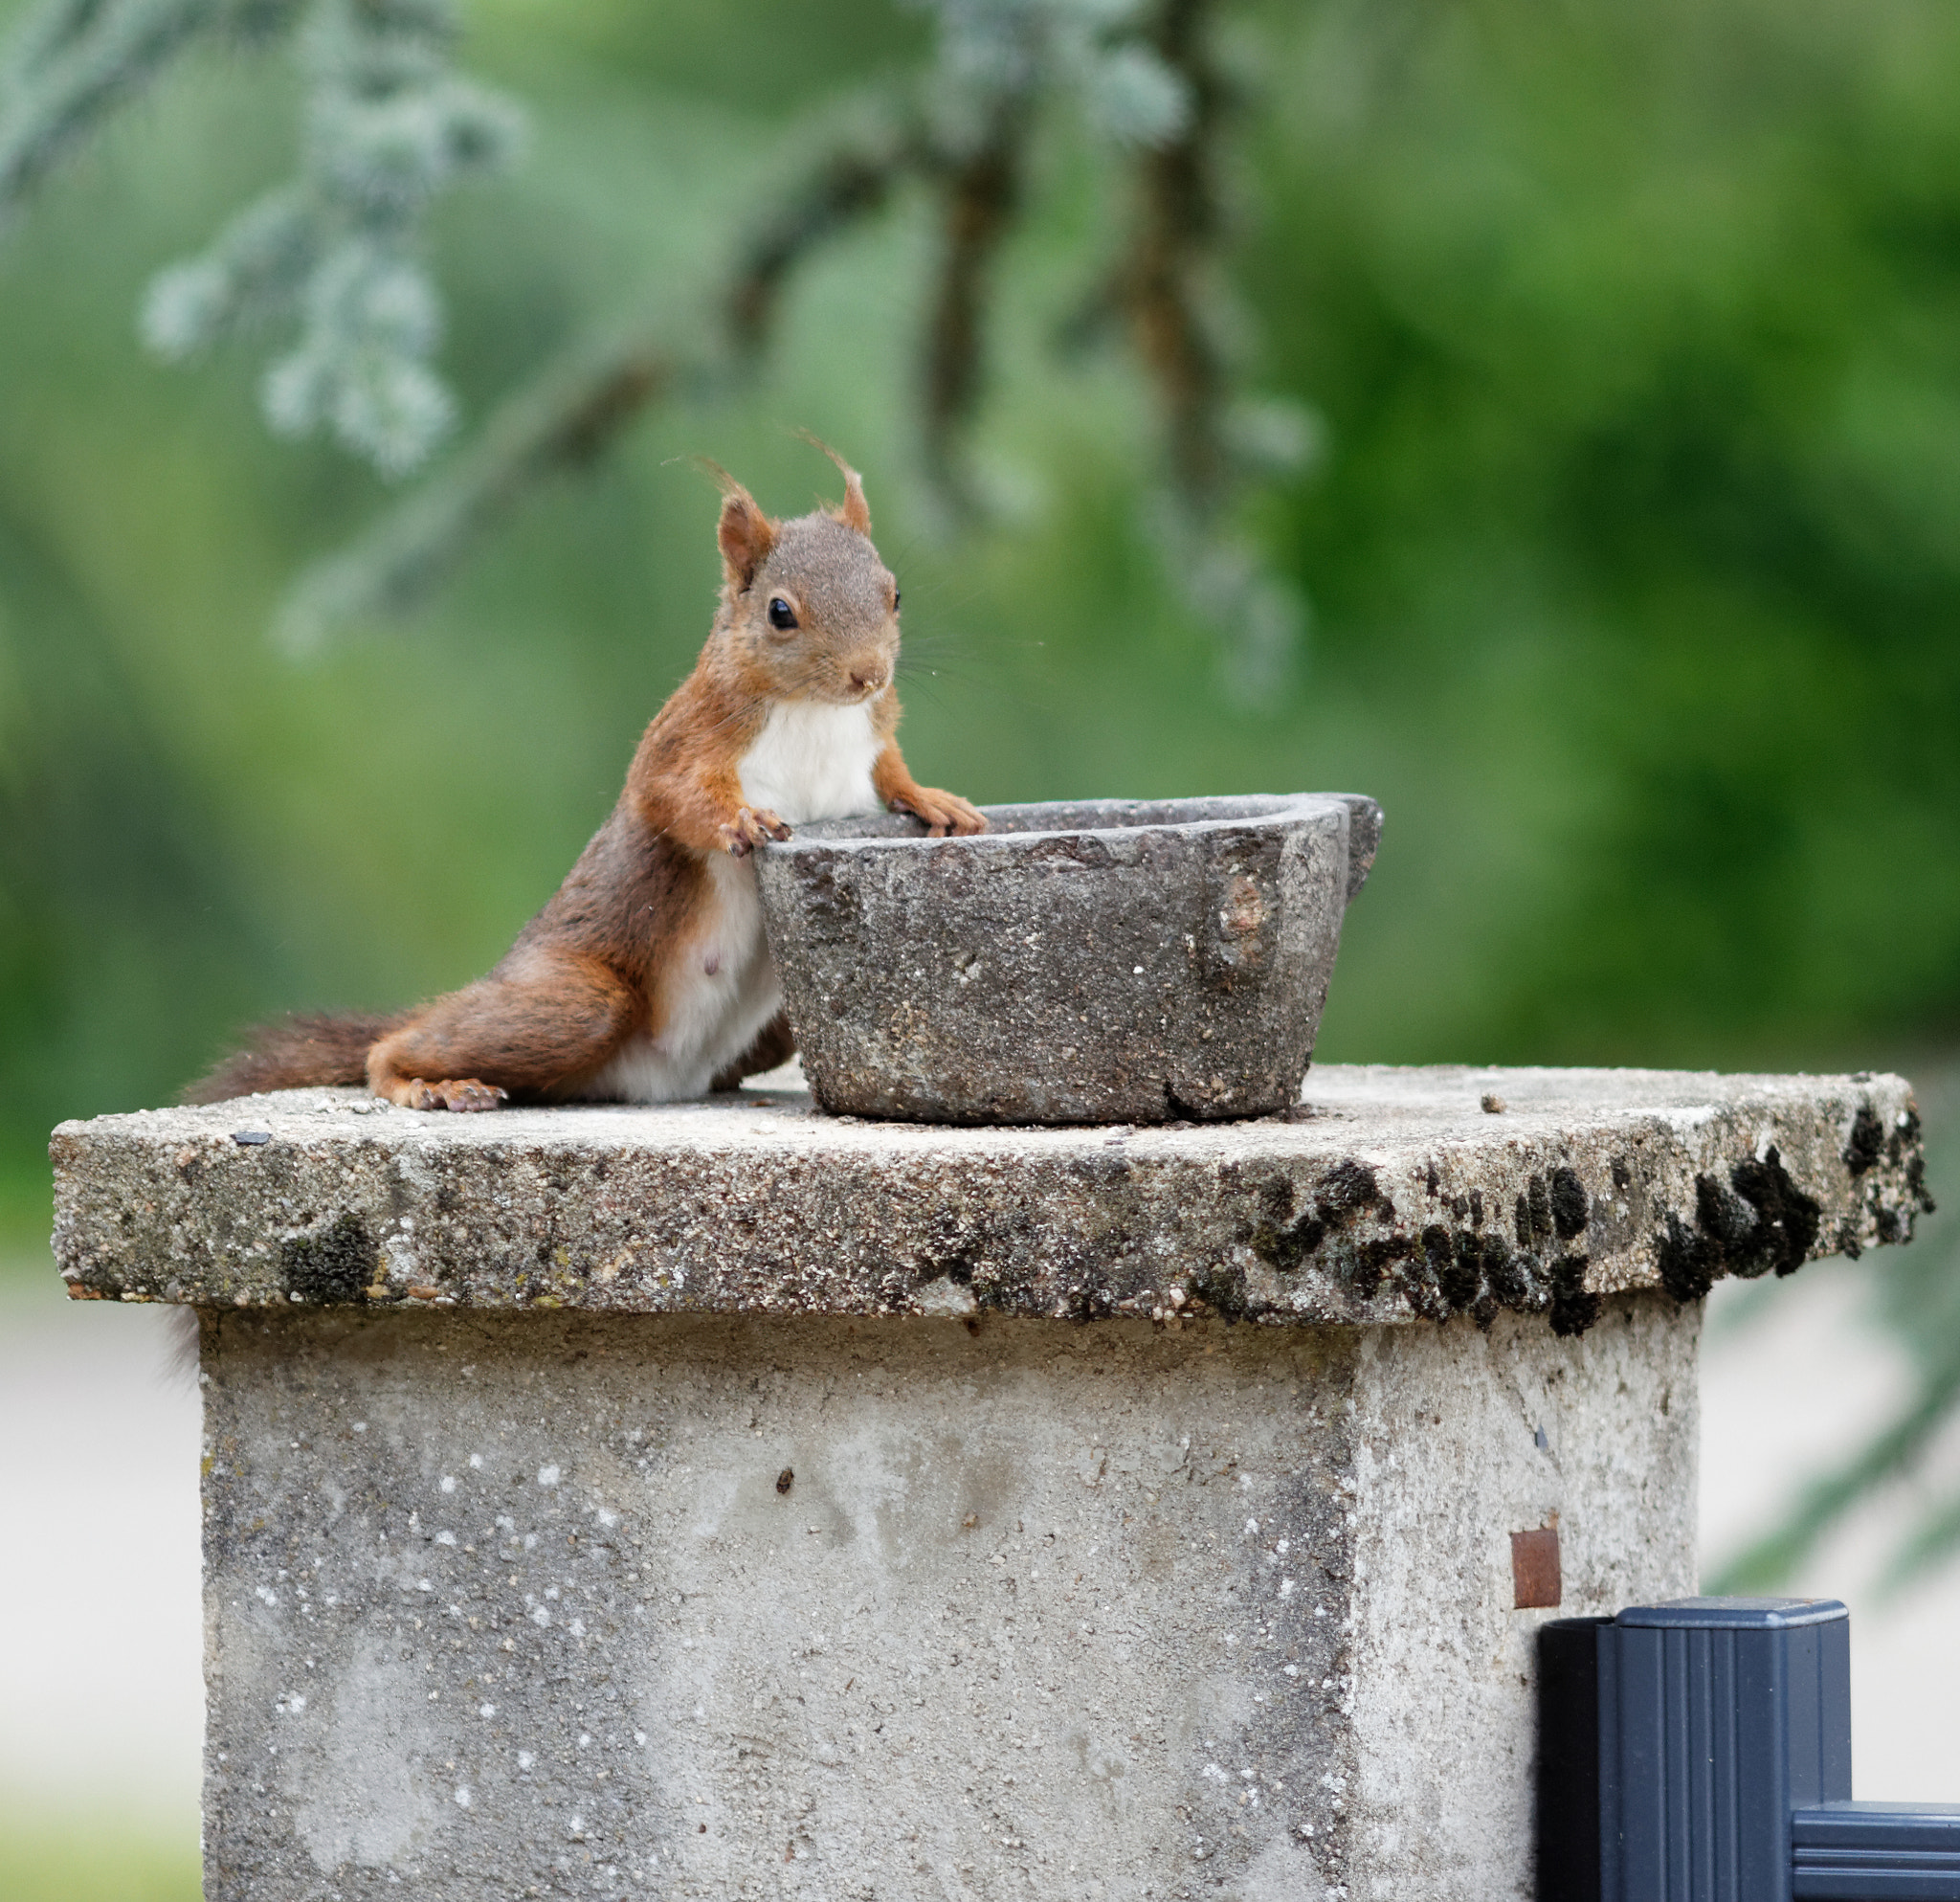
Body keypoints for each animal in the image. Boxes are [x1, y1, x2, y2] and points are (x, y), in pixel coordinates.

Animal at [190, 436, 988, 1106]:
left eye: (894, 593)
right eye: (781, 612)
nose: (867, 674)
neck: (814, 712)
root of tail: (647, 1081)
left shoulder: (870, 740)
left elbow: (892, 772)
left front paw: (936, 799)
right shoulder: (686, 739)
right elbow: (673, 799)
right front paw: (739, 818)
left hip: (764, 1033)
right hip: (575, 1002)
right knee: (392, 1048)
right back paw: (424, 1085)